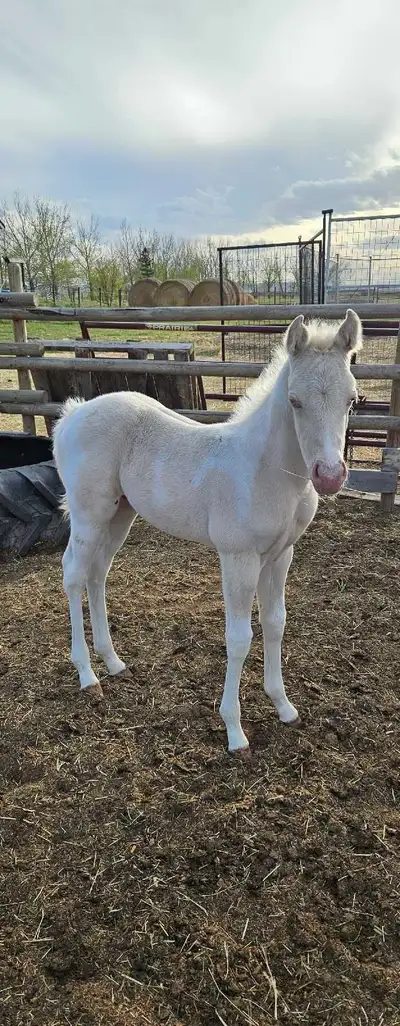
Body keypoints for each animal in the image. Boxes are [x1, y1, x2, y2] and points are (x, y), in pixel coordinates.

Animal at [53, 309, 361, 752]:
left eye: (352, 399)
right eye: (294, 400)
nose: (330, 476)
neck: (266, 470)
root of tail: (73, 414)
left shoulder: (281, 555)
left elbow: (275, 622)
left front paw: (284, 706)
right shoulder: (238, 557)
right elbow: (239, 638)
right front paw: (234, 730)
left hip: (119, 515)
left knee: (98, 576)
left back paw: (113, 662)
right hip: (88, 514)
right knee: (74, 575)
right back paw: (87, 675)